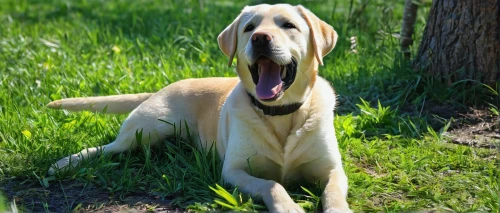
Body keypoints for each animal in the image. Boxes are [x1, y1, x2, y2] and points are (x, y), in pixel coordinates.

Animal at [47, 3, 352, 213]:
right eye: (249, 28)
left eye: (289, 25)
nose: (260, 38)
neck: (281, 114)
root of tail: (164, 87)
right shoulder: (234, 171)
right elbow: (272, 184)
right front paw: (288, 205)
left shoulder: (333, 170)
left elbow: (334, 192)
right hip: (144, 130)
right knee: (106, 148)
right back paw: (66, 163)